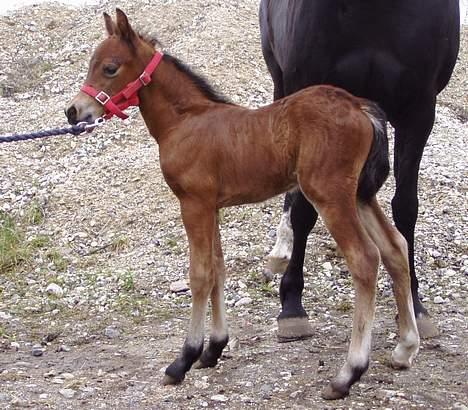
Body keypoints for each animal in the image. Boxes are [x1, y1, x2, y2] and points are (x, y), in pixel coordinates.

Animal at [66, 10, 420, 400]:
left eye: (110, 68)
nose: (73, 111)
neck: (185, 121)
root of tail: (360, 106)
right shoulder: (212, 206)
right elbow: (218, 269)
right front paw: (214, 348)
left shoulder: (194, 203)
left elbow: (200, 274)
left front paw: (183, 360)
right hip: (360, 194)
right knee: (395, 247)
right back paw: (405, 348)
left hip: (330, 195)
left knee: (365, 258)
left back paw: (348, 374)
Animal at [260, 0, 460, 340]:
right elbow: (303, 210)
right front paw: (292, 305)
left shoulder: (419, 113)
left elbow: (406, 207)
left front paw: (414, 304)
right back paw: (282, 248)